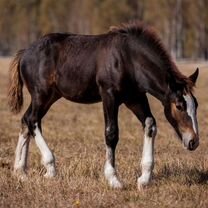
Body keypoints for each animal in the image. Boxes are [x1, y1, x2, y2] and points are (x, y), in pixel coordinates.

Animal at [8, 22, 200, 189]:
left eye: (196, 105)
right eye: (179, 106)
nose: (193, 141)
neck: (128, 59)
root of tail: (24, 53)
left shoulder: (135, 97)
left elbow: (150, 124)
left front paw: (144, 179)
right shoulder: (109, 96)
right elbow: (111, 133)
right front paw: (113, 179)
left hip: (50, 96)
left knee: (26, 120)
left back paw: (20, 171)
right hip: (41, 94)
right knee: (32, 120)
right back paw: (50, 168)